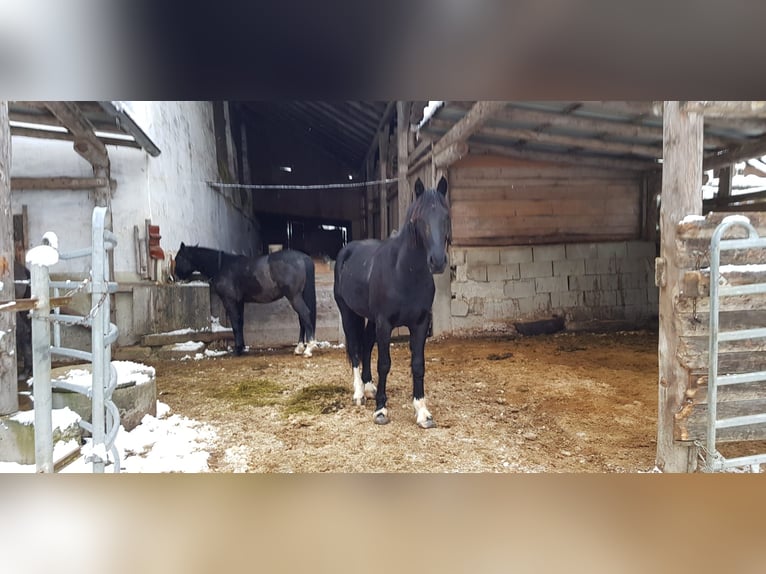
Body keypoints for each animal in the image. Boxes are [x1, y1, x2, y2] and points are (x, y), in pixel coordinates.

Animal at [174, 244, 318, 360]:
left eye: (178, 258)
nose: (175, 276)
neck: (222, 266)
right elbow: (240, 323)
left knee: (305, 314)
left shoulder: (230, 301)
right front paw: (242, 348)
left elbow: (235, 324)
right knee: (302, 319)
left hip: (294, 297)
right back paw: (299, 348)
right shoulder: (240, 302)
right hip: (298, 296)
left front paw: (237, 350)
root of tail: (303, 258)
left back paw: (309, 349)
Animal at [334, 178, 450, 430]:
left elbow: (418, 364)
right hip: (348, 313)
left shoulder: (420, 324)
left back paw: (368, 386)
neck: (404, 272)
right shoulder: (385, 323)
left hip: (369, 318)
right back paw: (359, 393)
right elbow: (384, 363)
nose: (437, 261)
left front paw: (422, 412)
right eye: (419, 219)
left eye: (446, 216)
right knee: (355, 349)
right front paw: (381, 409)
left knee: (366, 345)